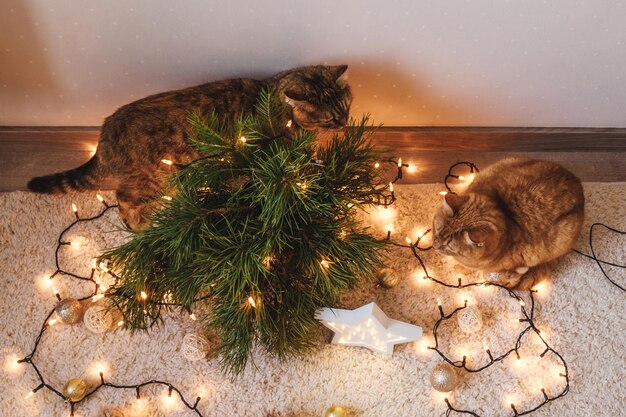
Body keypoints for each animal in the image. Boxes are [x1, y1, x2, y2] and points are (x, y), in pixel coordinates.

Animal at [28, 64, 352, 231]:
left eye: (347, 106)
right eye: (331, 117)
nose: (346, 123)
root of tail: (105, 133)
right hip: (154, 177)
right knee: (124, 198)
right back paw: (141, 225)